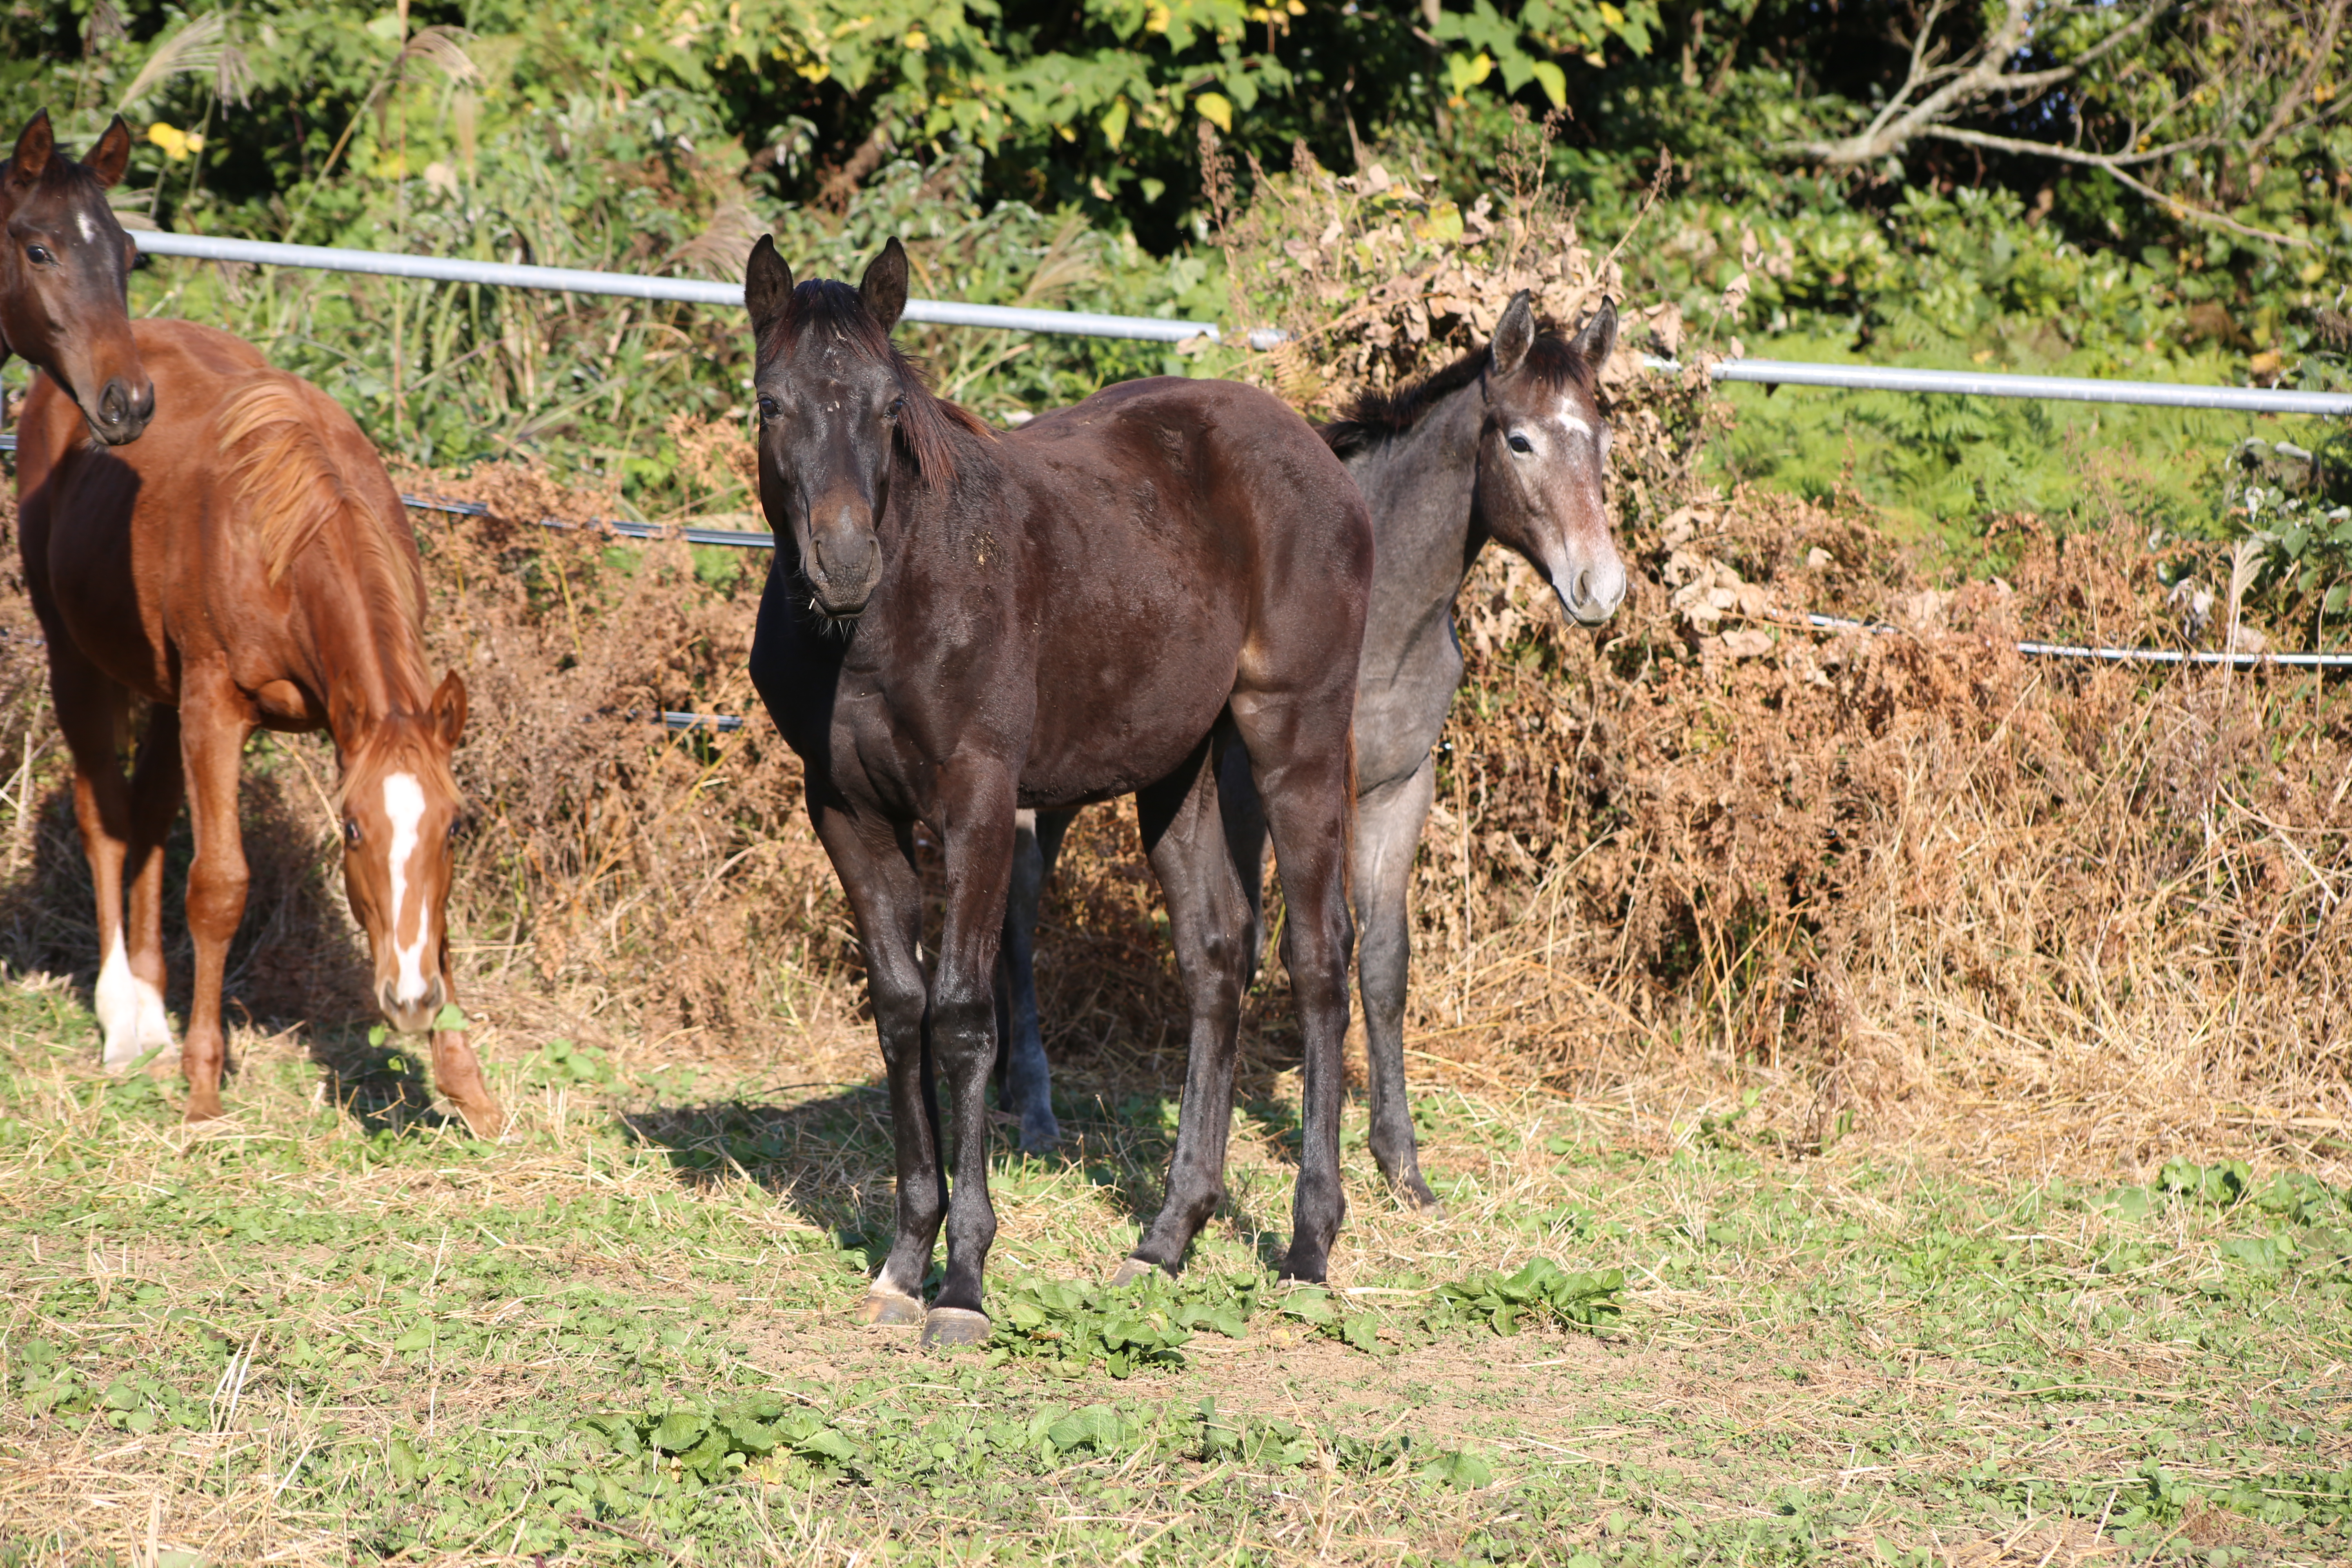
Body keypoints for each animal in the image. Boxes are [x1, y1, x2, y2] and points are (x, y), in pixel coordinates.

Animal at [16, 322, 501, 1128]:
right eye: (353, 830)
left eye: (457, 827)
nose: (409, 1000)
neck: (288, 534)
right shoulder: (216, 703)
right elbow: (219, 888)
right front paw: (204, 1090)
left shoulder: (333, 722)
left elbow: (442, 919)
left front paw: (469, 1087)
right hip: (74, 655)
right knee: (104, 817)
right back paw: (124, 1023)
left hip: (164, 691)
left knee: (149, 817)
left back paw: (152, 1009)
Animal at [748, 240, 1373, 1345]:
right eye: (771, 401)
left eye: (887, 407)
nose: (845, 562)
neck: (884, 625)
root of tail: (1319, 457)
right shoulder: (845, 813)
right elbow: (898, 1007)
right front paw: (903, 1261)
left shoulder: (980, 801)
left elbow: (962, 1016)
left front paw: (962, 1283)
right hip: (1177, 769)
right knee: (1215, 960)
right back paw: (1166, 1239)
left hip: (1292, 735)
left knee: (1315, 958)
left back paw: (1307, 1248)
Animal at [997, 291, 1637, 1213]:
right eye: (1518, 439)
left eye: (1603, 440)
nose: (1600, 587)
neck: (1383, 615)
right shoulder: (1253, 791)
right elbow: (1259, 948)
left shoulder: (1399, 791)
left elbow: (1382, 964)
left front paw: (1401, 1165)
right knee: (1015, 918)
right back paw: (1035, 1111)